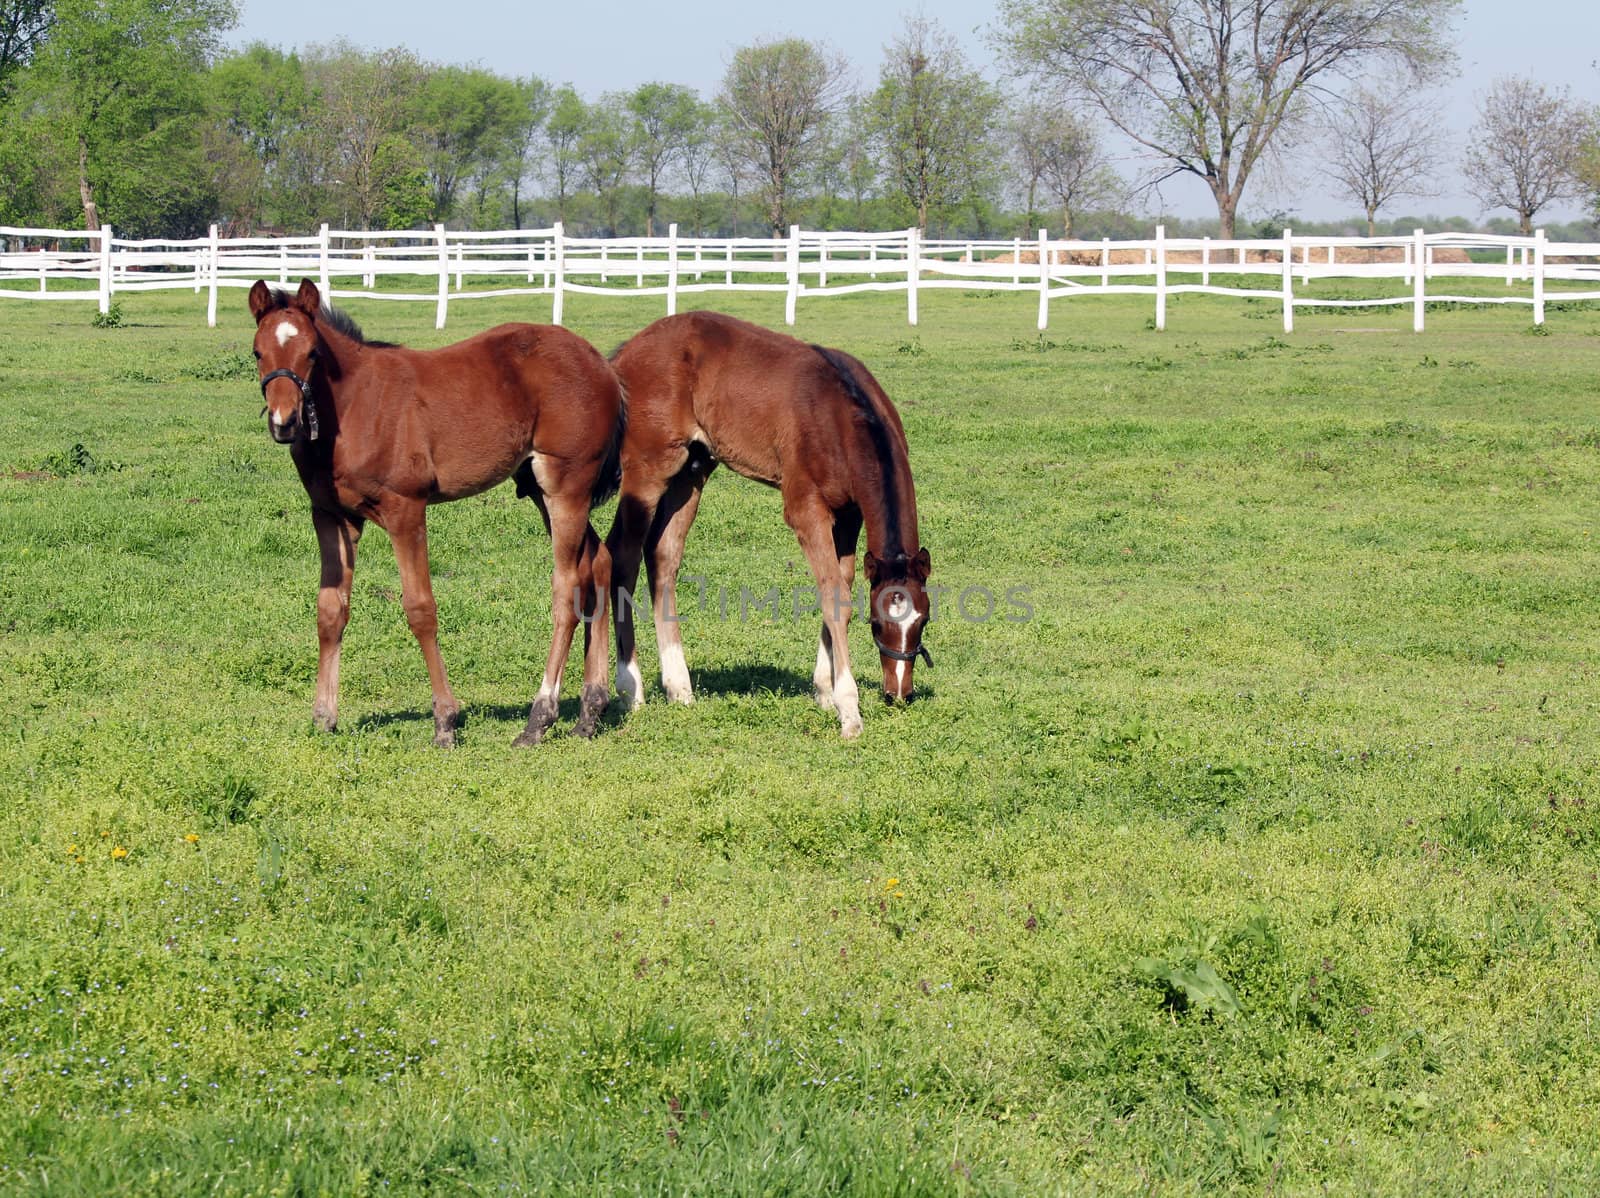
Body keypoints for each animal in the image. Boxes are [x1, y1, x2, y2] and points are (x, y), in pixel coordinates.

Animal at [249, 281, 624, 748]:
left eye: (312, 353)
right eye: (257, 352)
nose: (284, 422)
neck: (353, 408)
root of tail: (603, 366)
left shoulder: (405, 510)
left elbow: (420, 609)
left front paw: (445, 721)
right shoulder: (332, 516)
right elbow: (330, 610)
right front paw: (324, 716)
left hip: (566, 485)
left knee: (567, 587)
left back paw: (539, 719)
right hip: (541, 489)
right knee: (599, 562)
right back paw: (590, 711)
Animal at [601, 308, 934, 738]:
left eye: (922, 620)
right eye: (876, 623)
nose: (898, 692)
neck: (842, 417)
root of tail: (626, 353)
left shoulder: (848, 514)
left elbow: (838, 586)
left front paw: (824, 690)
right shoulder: (806, 509)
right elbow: (835, 598)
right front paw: (848, 709)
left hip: (692, 470)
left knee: (663, 557)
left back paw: (680, 688)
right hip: (649, 468)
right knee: (623, 555)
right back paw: (631, 690)